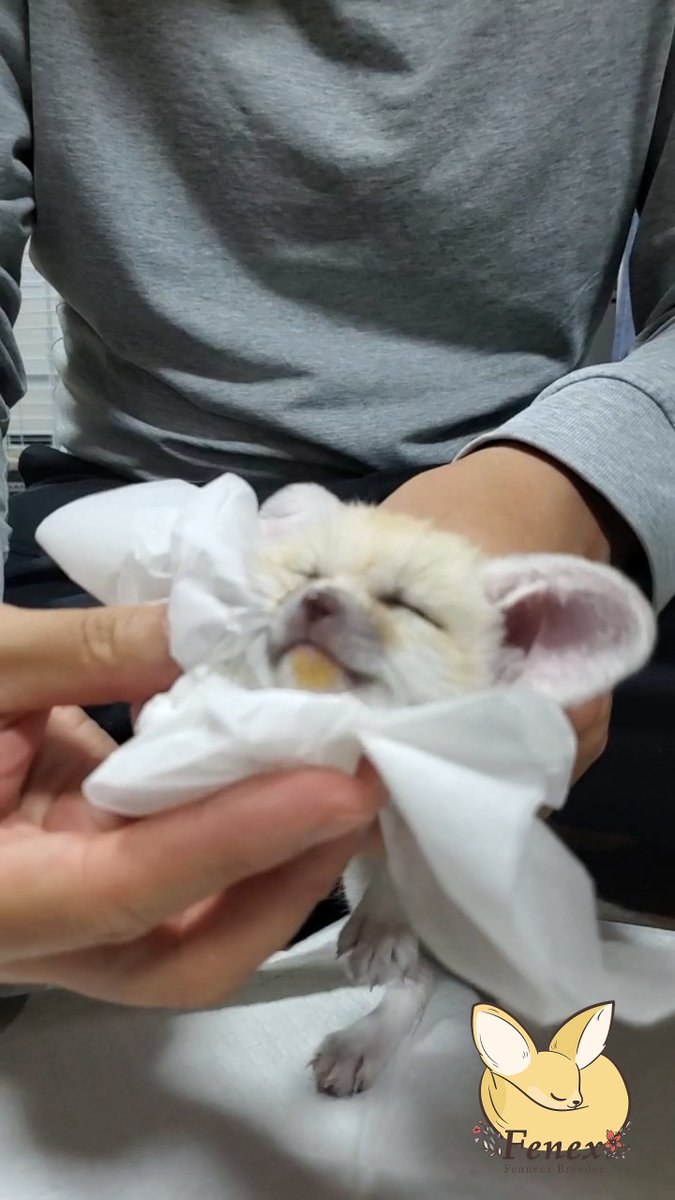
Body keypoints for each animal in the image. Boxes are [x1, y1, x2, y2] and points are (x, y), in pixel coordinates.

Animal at [237, 483, 655, 1098]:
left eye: (409, 608)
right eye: (307, 574)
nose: (315, 599)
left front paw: (386, 918)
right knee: (417, 980)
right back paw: (366, 1037)